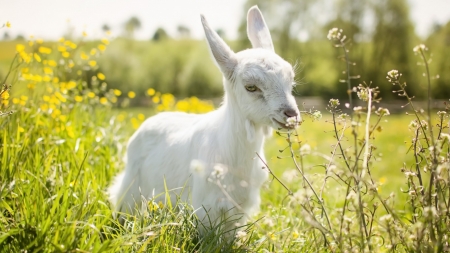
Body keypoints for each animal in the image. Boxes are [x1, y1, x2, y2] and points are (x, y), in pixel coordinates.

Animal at [107, 5, 300, 235]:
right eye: (251, 87)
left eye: (290, 80)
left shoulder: (240, 210)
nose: (291, 115)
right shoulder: (205, 208)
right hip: (130, 192)